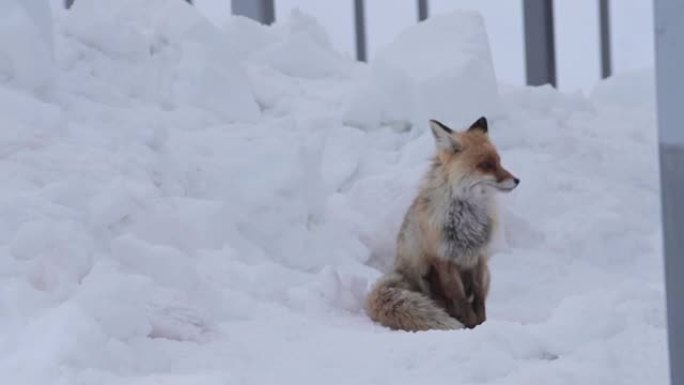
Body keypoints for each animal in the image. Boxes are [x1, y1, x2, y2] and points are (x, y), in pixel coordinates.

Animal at [364, 116, 520, 330]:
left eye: (499, 162)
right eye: (485, 165)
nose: (517, 180)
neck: (467, 218)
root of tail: (398, 272)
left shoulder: (479, 258)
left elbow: (479, 301)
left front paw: (481, 325)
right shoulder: (444, 259)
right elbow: (462, 301)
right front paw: (469, 327)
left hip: (486, 273)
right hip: (425, 276)